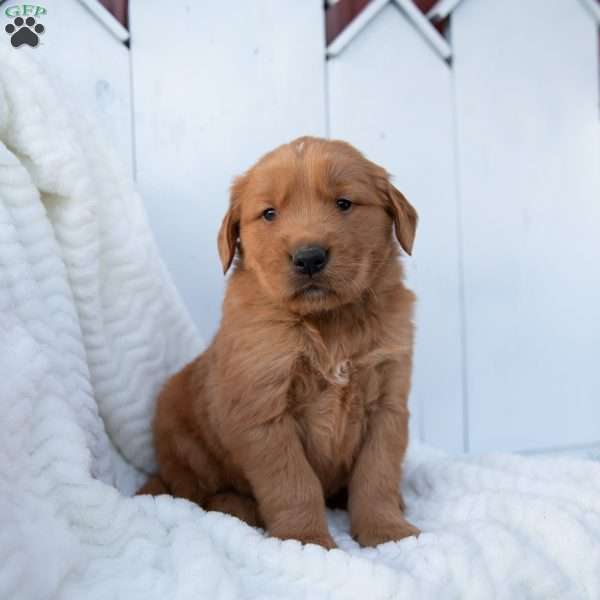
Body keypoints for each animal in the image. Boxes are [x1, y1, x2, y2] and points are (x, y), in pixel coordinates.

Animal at [140, 136, 420, 548]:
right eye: (269, 213)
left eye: (343, 203)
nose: (309, 257)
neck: (329, 322)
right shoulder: (263, 410)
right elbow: (294, 483)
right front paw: (306, 540)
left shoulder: (388, 403)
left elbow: (377, 474)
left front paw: (387, 531)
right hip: (176, 426)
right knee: (196, 491)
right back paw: (235, 506)